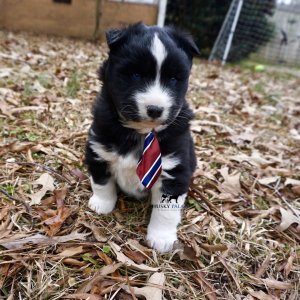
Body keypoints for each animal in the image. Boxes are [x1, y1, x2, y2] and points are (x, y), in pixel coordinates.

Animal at [86, 22, 199, 253]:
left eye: (173, 79)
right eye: (136, 75)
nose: (155, 109)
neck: (142, 132)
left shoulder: (174, 169)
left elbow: (166, 209)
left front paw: (161, 238)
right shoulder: (98, 149)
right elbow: (101, 181)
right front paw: (102, 204)